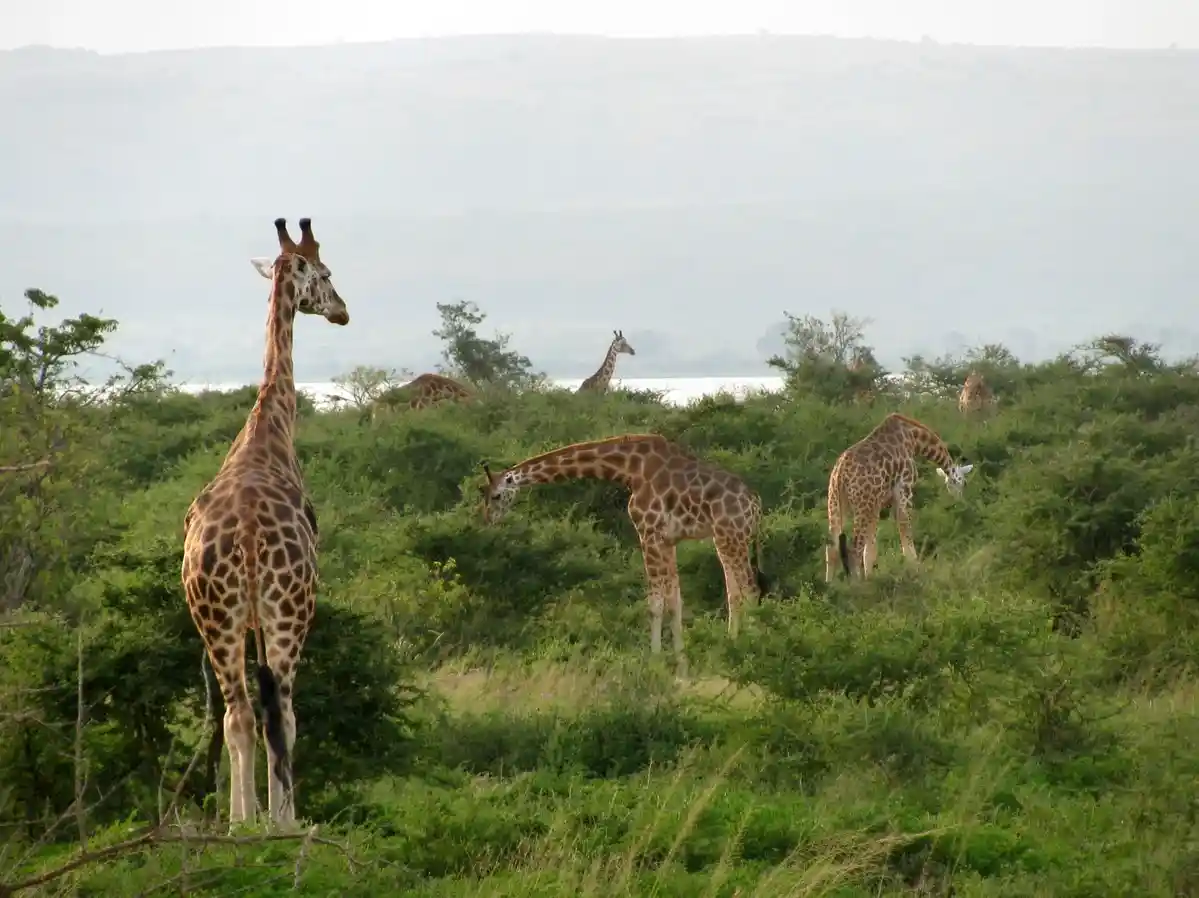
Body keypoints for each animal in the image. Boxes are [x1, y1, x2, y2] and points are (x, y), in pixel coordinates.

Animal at [181, 217, 349, 828]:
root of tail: (251, 541)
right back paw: (281, 821)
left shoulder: (243, 618)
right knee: (283, 713)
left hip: (215, 617)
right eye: (325, 272)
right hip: (290, 610)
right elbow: (286, 718)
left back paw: (239, 823)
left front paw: (250, 816)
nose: (343, 311)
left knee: (238, 715)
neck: (269, 430)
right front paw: (283, 815)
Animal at [478, 434, 768, 676]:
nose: (488, 521)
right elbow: (675, 601)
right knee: (735, 592)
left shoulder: (648, 533)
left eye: (496, 496)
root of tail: (755, 505)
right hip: (727, 540)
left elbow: (655, 603)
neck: (628, 469)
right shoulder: (667, 540)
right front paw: (682, 667)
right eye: (485, 496)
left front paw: (655, 663)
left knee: (750, 591)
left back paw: (751, 652)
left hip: (730, 537)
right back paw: (731, 646)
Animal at [825, 413, 973, 580]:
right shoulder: (905, 489)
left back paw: (830, 585)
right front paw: (915, 568)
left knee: (832, 547)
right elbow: (904, 528)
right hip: (862, 505)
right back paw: (856, 585)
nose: (959, 504)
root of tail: (840, 474)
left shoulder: (877, 503)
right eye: (964, 483)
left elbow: (870, 549)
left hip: (835, 502)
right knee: (854, 549)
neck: (915, 438)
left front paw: (870, 577)